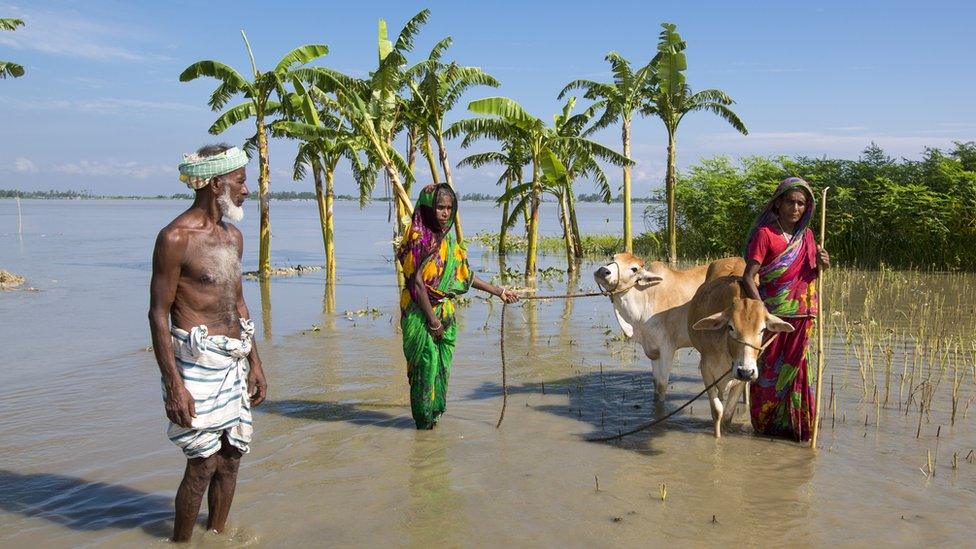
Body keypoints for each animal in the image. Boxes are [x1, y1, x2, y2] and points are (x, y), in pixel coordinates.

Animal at [592, 253, 744, 398]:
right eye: (613, 257)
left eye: (634, 269)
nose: (603, 271)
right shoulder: (653, 349)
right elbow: (655, 384)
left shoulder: (667, 348)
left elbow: (661, 386)